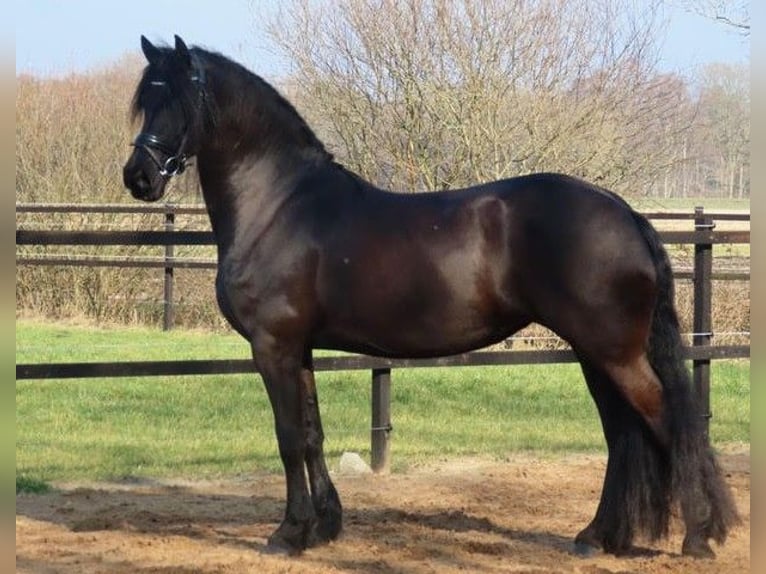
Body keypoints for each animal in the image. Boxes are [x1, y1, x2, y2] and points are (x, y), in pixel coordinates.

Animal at [123, 35, 738, 557]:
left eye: (178, 98)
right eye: (146, 99)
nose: (139, 177)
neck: (278, 206)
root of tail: (625, 213)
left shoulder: (272, 346)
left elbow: (289, 438)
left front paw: (289, 533)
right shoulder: (298, 348)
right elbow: (314, 434)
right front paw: (324, 527)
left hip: (612, 353)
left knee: (666, 422)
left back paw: (697, 538)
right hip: (597, 354)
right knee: (622, 433)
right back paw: (597, 537)